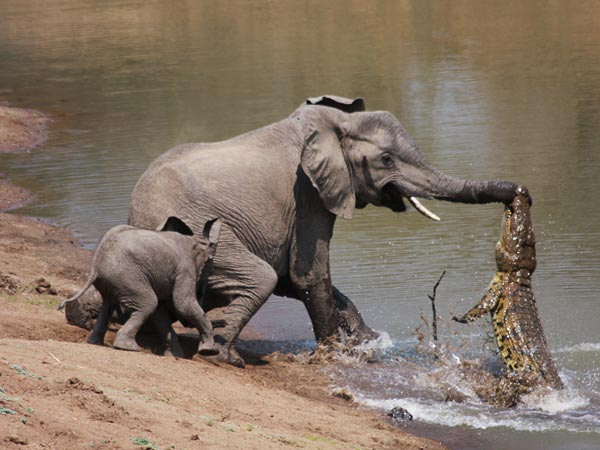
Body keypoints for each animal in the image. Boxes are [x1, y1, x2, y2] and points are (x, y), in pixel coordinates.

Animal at [58, 216, 221, 356]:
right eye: (209, 267)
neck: (196, 240)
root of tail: (95, 265)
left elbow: (160, 313)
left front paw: (177, 356)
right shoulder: (185, 269)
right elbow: (182, 304)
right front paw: (210, 351)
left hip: (114, 280)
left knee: (109, 305)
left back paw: (95, 342)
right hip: (128, 277)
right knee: (148, 303)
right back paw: (127, 347)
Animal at [129, 95, 516, 366]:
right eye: (386, 160)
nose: (518, 192)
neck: (333, 124)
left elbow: (296, 279)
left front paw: (369, 343)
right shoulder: (308, 194)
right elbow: (307, 274)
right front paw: (334, 356)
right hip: (196, 231)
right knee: (260, 277)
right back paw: (226, 356)